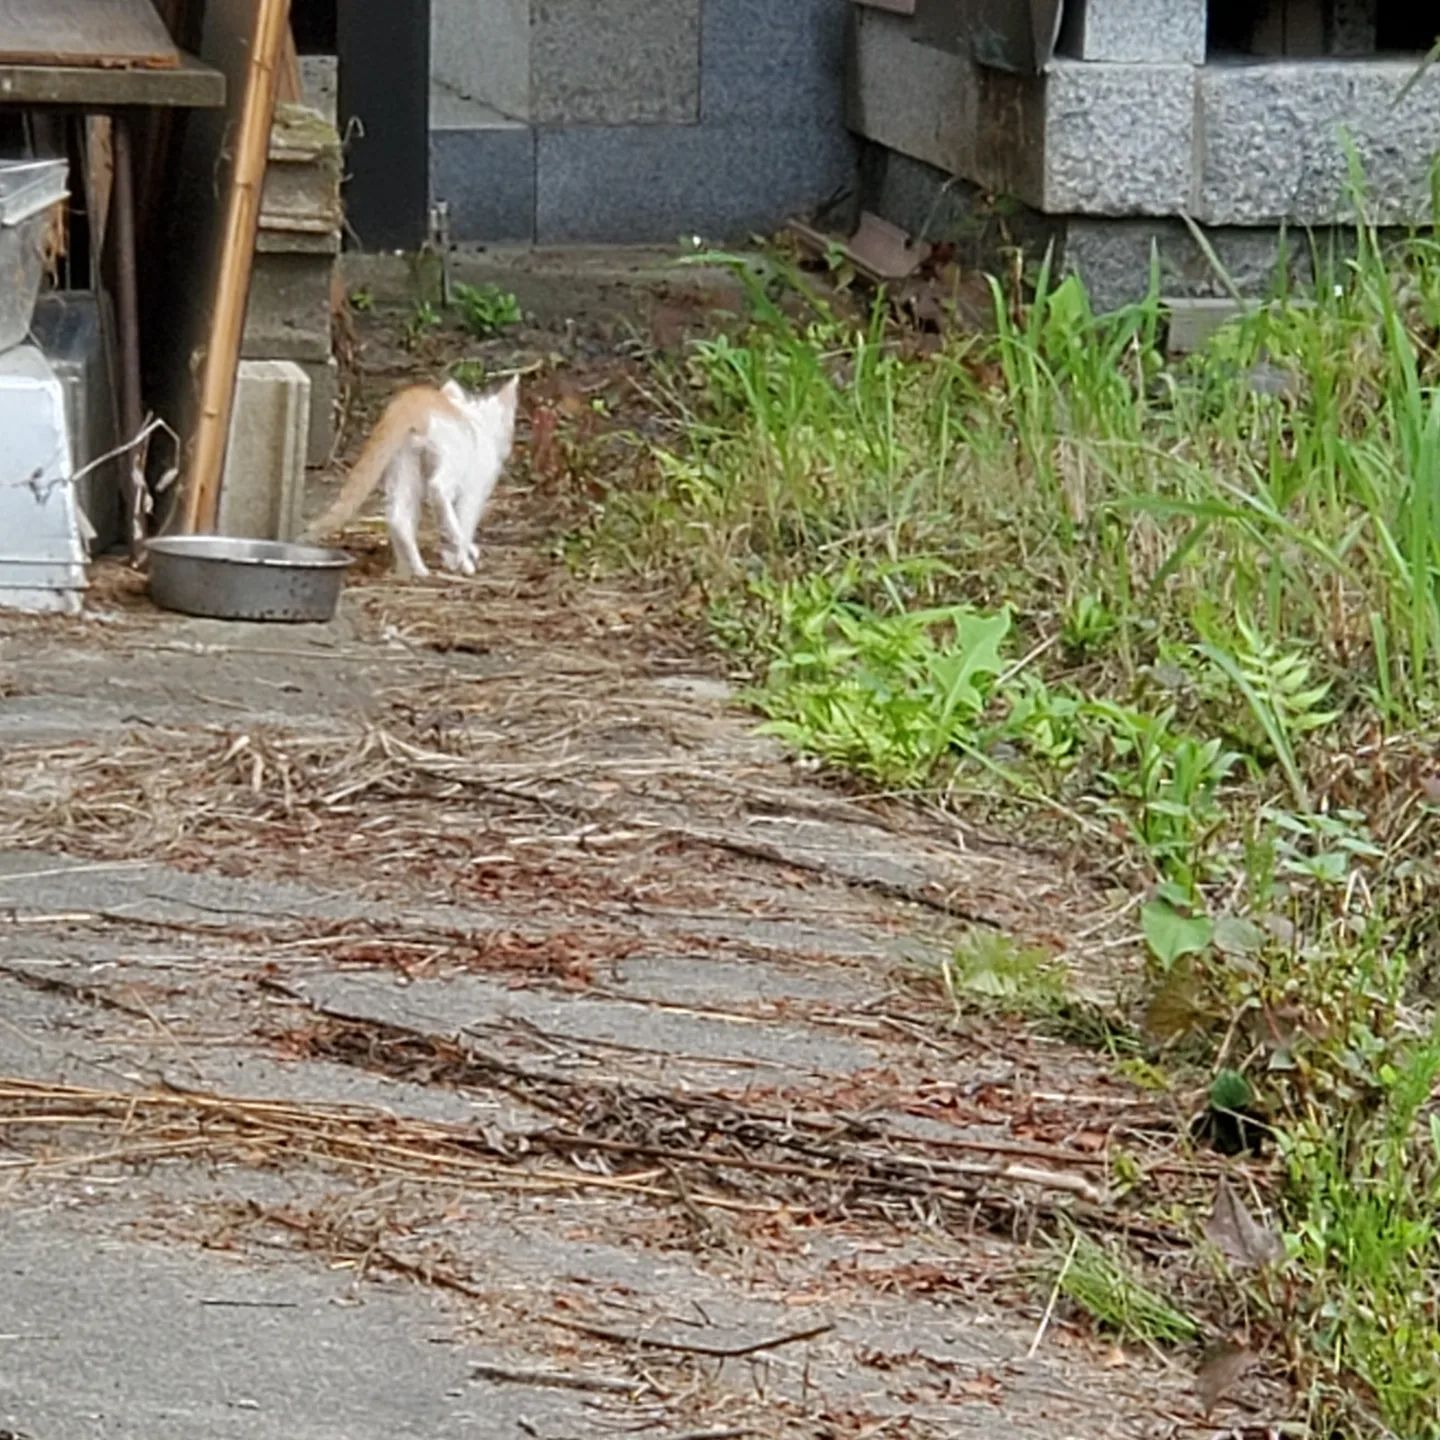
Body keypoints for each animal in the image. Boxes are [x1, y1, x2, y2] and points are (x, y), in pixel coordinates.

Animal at [306, 377, 521, 578]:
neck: (478, 420)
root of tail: (407, 404)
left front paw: (450, 556)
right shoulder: (474, 489)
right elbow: (464, 520)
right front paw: (460, 554)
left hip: (403, 466)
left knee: (398, 516)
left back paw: (414, 569)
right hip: (449, 460)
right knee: (438, 489)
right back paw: (457, 554)